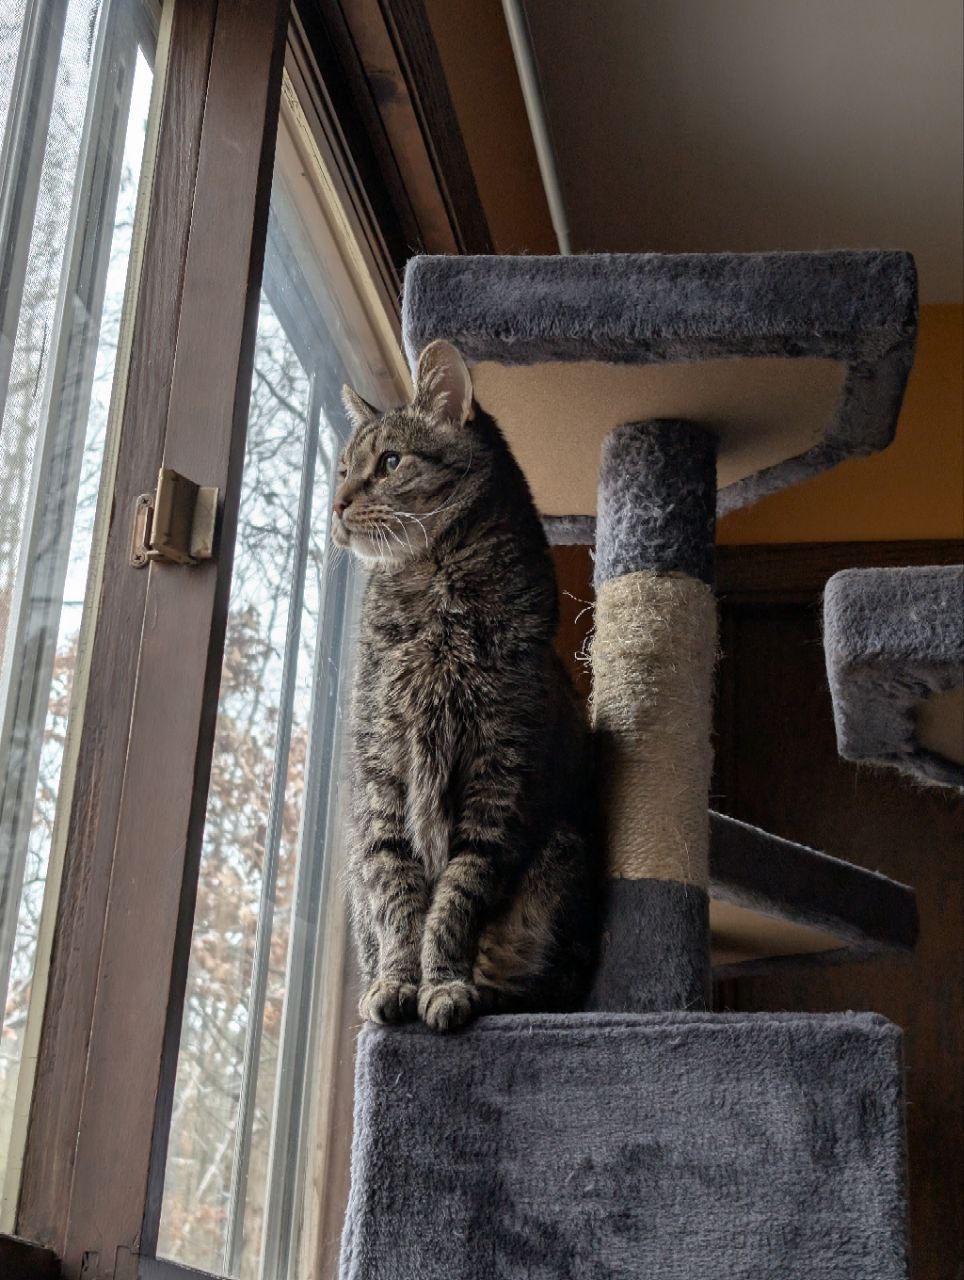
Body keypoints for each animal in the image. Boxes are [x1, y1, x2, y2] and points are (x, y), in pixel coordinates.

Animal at [335, 337, 599, 1029]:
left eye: (390, 461)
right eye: (342, 468)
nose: (336, 504)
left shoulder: (497, 779)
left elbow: (454, 900)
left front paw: (444, 984)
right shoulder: (382, 771)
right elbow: (398, 897)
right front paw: (398, 983)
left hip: (562, 855)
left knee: (532, 981)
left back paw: (488, 992)